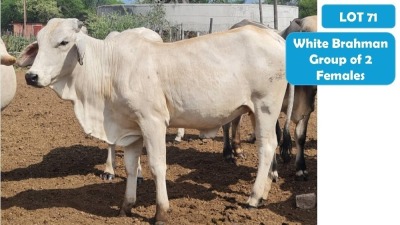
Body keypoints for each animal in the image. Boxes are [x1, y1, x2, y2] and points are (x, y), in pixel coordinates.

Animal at [18, 18, 288, 224]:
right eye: (39, 43)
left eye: (63, 42)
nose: (31, 76)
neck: (110, 68)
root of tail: (274, 36)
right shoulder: (132, 129)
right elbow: (130, 167)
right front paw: (126, 206)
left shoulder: (153, 121)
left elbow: (158, 167)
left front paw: (161, 212)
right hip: (256, 111)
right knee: (270, 145)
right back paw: (264, 192)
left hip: (265, 107)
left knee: (266, 147)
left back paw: (254, 198)